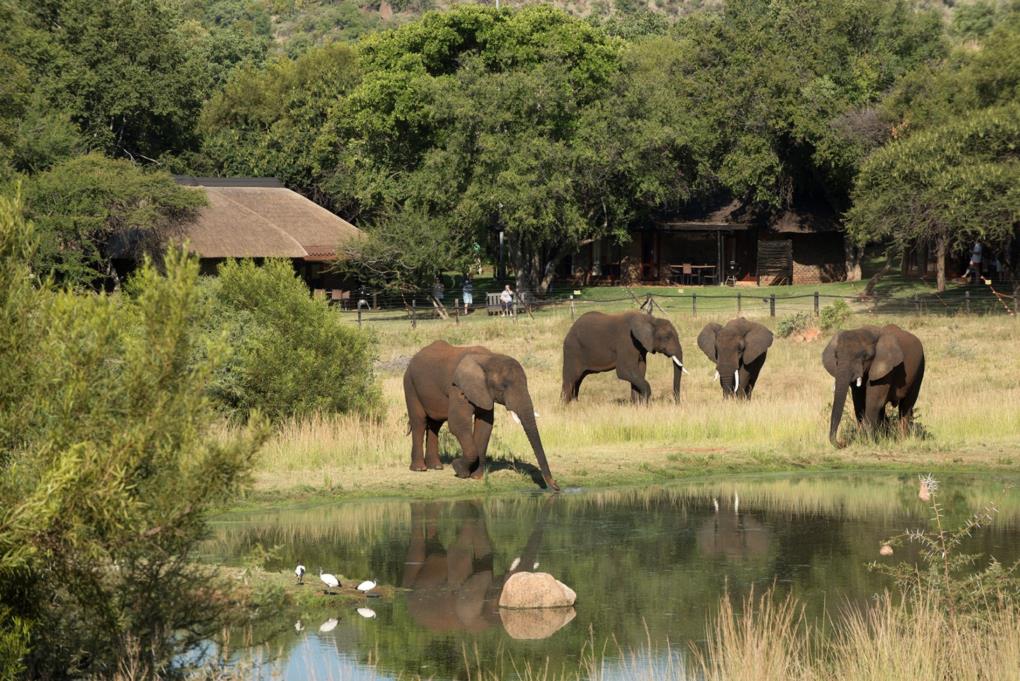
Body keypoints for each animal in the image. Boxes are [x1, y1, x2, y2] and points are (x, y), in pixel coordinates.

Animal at [401, 340, 558, 489]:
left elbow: (485, 425)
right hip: (409, 384)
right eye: (503, 386)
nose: (556, 486)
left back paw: (436, 466)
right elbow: (458, 424)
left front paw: (476, 476)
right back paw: (419, 469)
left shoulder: (484, 392)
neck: (488, 358)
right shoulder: (457, 388)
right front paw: (459, 469)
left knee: (435, 424)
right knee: (419, 422)